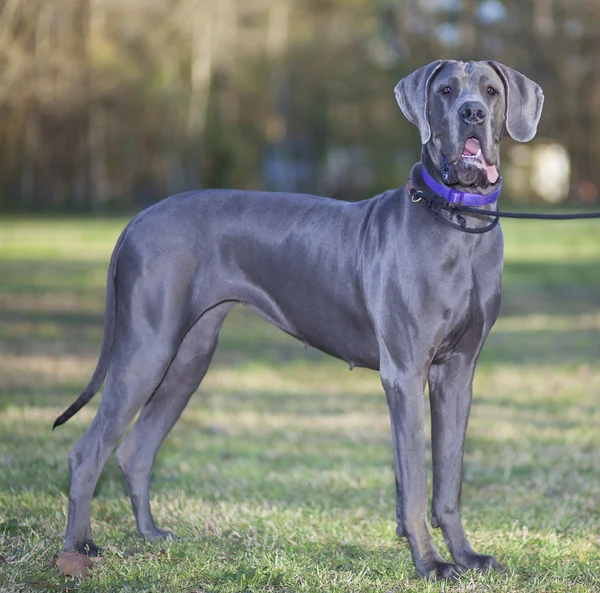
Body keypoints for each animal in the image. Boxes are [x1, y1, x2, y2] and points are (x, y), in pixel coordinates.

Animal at [55, 60, 544, 580]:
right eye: (447, 90)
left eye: (491, 92)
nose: (472, 113)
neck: (457, 220)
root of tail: (136, 220)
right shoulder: (406, 373)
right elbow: (414, 481)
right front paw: (430, 563)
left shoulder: (456, 374)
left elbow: (447, 479)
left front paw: (465, 555)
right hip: (145, 351)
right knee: (87, 452)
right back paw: (78, 547)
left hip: (187, 359)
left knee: (136, 452)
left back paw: (149, 535)